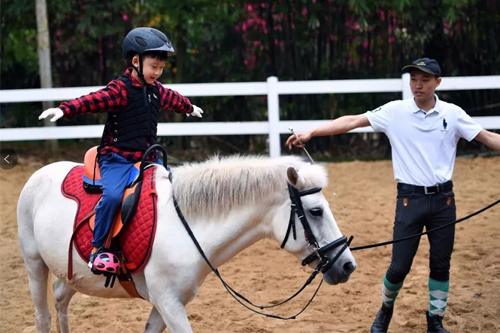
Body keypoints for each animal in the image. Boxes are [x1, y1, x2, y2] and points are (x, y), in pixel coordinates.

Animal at [18, 155, 356, 332]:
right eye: (316, 211)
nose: (347, 265)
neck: (186, 227)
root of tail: (40, 173)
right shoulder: (168, 303)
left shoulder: (166, 303)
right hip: (34, 265)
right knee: (43, 315)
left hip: (72, 274)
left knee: (60, 300)